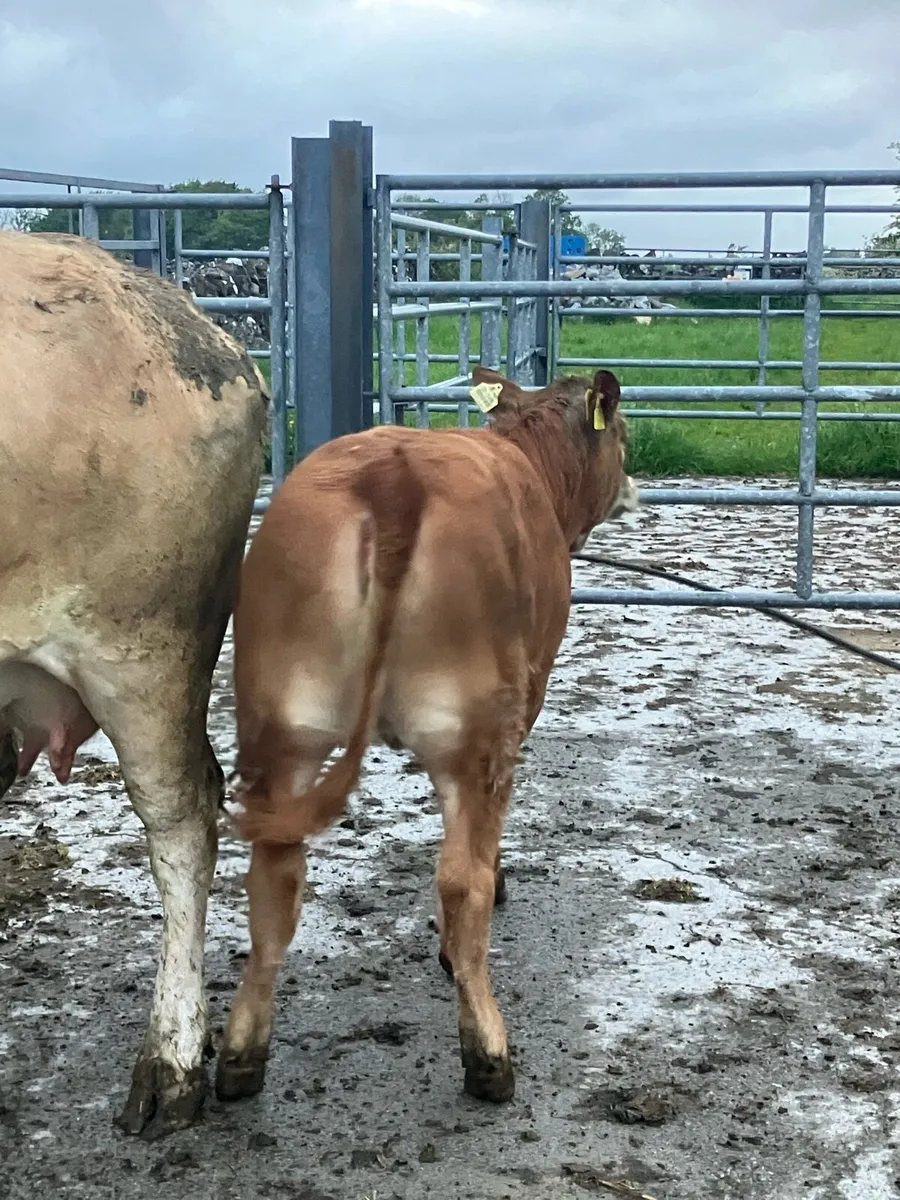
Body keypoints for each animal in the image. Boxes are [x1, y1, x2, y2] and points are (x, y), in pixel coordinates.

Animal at [217, 365, 630, 1108]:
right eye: (623, 435)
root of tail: (393, 475)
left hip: (282, 726)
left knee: (273, 877)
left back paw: (241, 1056)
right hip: (473, 734)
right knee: (461, 879)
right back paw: (488, 1052)